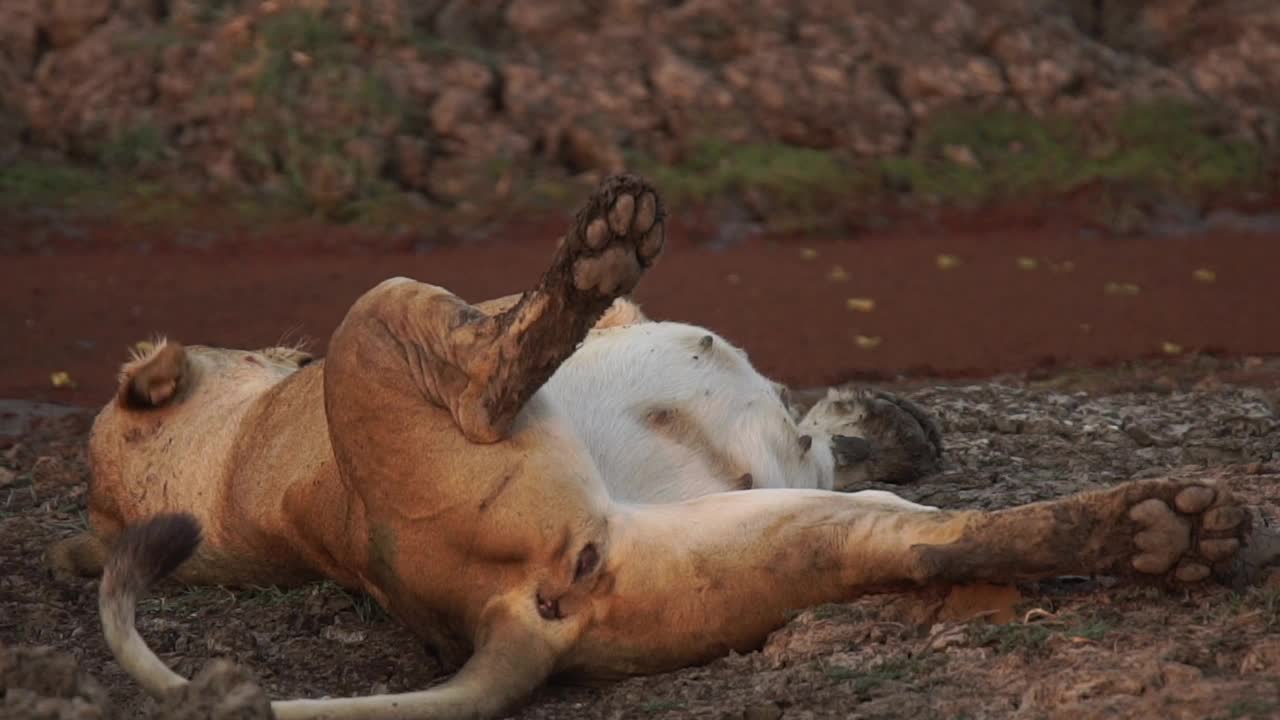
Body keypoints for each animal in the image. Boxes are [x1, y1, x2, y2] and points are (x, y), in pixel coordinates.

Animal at [52, 174, 1249, 717]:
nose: (287, 346)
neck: (234, 467)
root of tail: (492, 620)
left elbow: (818, 428)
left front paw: (895, 419)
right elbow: (806, 418)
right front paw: (884, 416)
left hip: (759, 540)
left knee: (930, 545)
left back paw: (1167, 532)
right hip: (388, 309)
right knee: (496, 367)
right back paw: (603, 242)